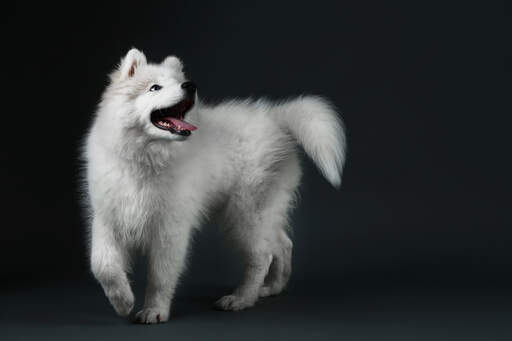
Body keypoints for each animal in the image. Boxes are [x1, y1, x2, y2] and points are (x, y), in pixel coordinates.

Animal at [84, 47, 346, 322]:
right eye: (154, 87)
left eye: (179, 82)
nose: (190, 85)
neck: (145, 159)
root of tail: (276, 121)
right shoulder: (107, 218)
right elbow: (101, 264)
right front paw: (122, 300)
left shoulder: (171, 228)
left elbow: (161, 276)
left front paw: (155, 310)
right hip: (260, 212)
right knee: (283, 244)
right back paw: (273, 287)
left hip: (245, 215)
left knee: (262, 256)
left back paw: (242, 298)